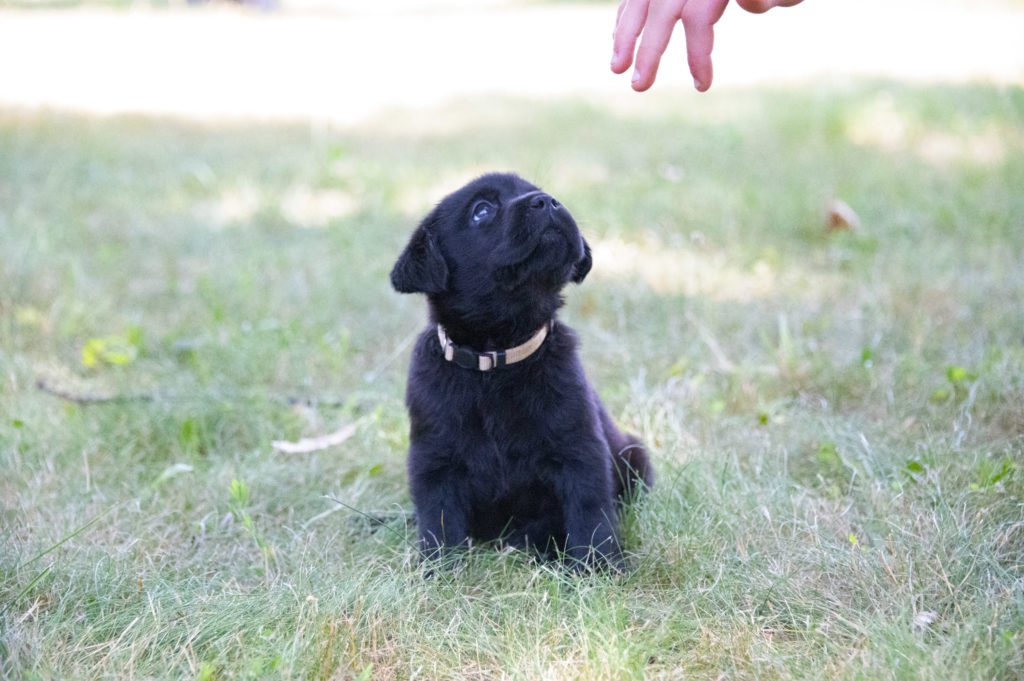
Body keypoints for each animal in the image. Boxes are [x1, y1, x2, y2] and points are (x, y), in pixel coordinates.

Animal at [387, 173, 651, 565]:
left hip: (635, 455)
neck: (497, 359)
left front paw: (599, 565)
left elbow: (590, 513)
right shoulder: (433, 459)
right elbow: (439, 522)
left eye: (534, 189)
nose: (547, 201)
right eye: (481, 210)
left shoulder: (580, 448)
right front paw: (438, 570)